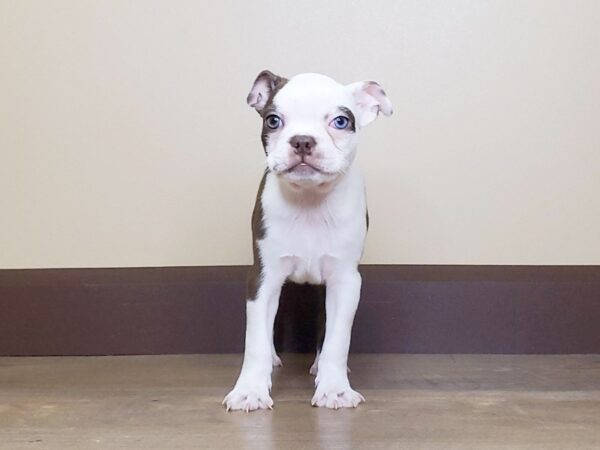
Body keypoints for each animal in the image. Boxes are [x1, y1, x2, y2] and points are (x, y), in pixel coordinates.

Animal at [223, 70, 392, 412]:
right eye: (273, 120)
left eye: (341, 121)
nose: (302, 140)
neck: (310, 201)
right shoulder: (262, 278)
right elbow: (256, 340)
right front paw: (250, 390)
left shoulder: (345, 281)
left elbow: (337, 339)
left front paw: (335, 388)